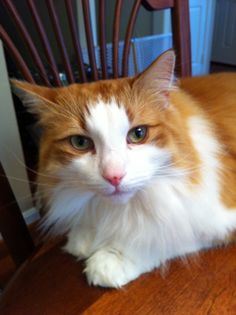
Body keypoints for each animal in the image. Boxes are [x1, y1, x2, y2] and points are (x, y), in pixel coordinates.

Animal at [12, 51, 236, 288]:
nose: (114, 176)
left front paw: (112, 259)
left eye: (138, 134)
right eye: (80, 143)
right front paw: (85, 236)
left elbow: (169, 235)